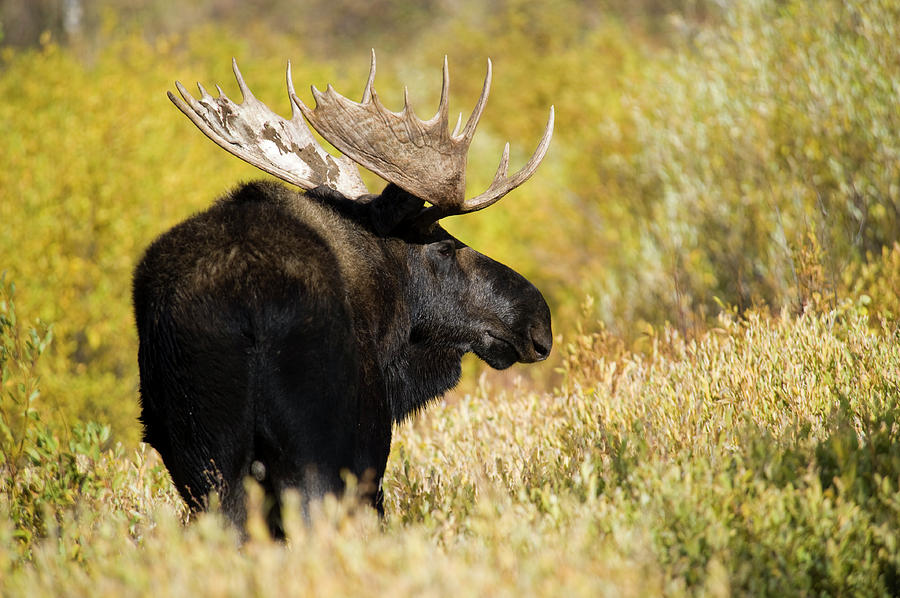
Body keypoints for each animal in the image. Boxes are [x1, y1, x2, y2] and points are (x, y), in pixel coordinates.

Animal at [134, 51, 556, 536]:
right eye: (444, 246)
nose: (538, 322)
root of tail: (246, 299)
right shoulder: (369, 439)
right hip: (315, 439)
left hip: (201, 452)